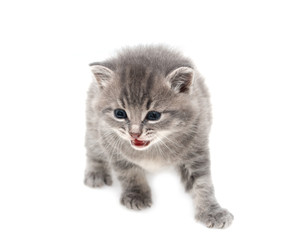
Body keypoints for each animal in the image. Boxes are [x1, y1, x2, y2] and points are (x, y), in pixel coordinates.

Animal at [84, 45, 235, 229]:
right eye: (119, 113)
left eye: (153, 115)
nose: (134, 133)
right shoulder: (111, 145)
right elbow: (129, 172)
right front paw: (137, 195)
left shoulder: (197, 146)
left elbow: (202, 182)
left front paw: (212, 211)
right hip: (93, 123)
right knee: (93, 146)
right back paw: (96, 172)